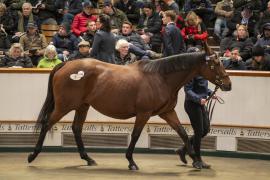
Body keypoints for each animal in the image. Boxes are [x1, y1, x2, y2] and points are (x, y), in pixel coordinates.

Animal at [27, 43, 231, 169]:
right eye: (215, 64)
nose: (228, 84)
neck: (161, 77)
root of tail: (65, 65)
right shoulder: (144, 113)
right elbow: (135, 135)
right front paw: (131, 162)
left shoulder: (167, 112)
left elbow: (182, 132)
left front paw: (195, 160)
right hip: (65, 106)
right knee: (46, 123)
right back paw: (32, 155)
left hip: (82, 106)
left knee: (76, 129)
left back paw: (88, 159)